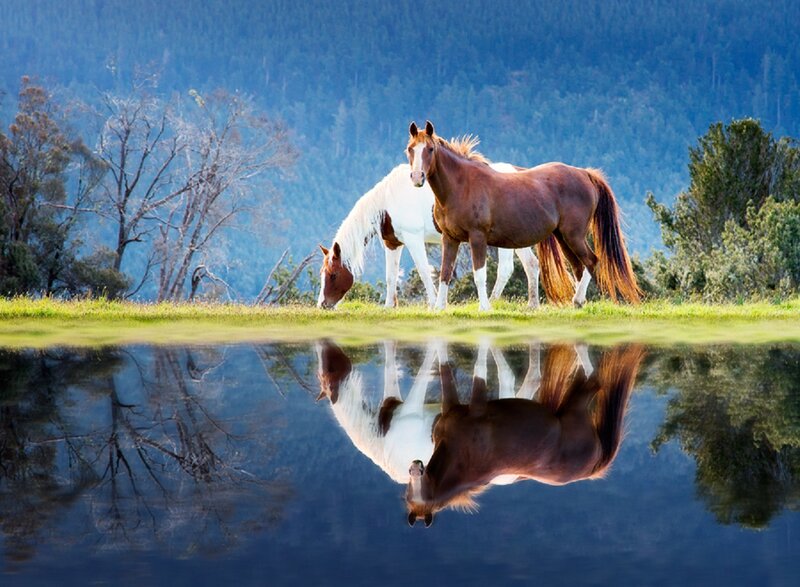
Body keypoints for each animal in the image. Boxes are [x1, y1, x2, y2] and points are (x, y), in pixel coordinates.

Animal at [317, 156, 573, 309]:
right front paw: (390, 306)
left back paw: (490, 302)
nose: (322, 305)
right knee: (531, 264)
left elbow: (424, 271)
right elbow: (391, 276)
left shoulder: (414, 239)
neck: (388, 200)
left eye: (332, 274)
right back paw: (531, 305)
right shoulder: (393, 243)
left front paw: (434, 303)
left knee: (506, 269)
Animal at [405, 344, 645, 527]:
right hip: (573, 401)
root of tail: (594, 466)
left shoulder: (475, 406)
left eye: (417, 485)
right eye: (409, 492)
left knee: (593, 376)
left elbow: (470, 365)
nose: (416, 465)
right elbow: (450, 368)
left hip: (576, 404)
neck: (461, 460)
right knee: (587, 376)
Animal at [406, 120, 640, 311]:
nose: (417, 177)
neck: (462, 186)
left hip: (574, 235)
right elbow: (445, 273)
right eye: (410, 149)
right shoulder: (450, 239)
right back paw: (578, 303)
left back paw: (577, 300)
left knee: (591, 261)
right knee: (579, 267)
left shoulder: (477, 237)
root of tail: (585, 173)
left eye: (430, 149)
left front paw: (484, 308)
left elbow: (479, 274)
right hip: (563, 237)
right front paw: (439, 308)